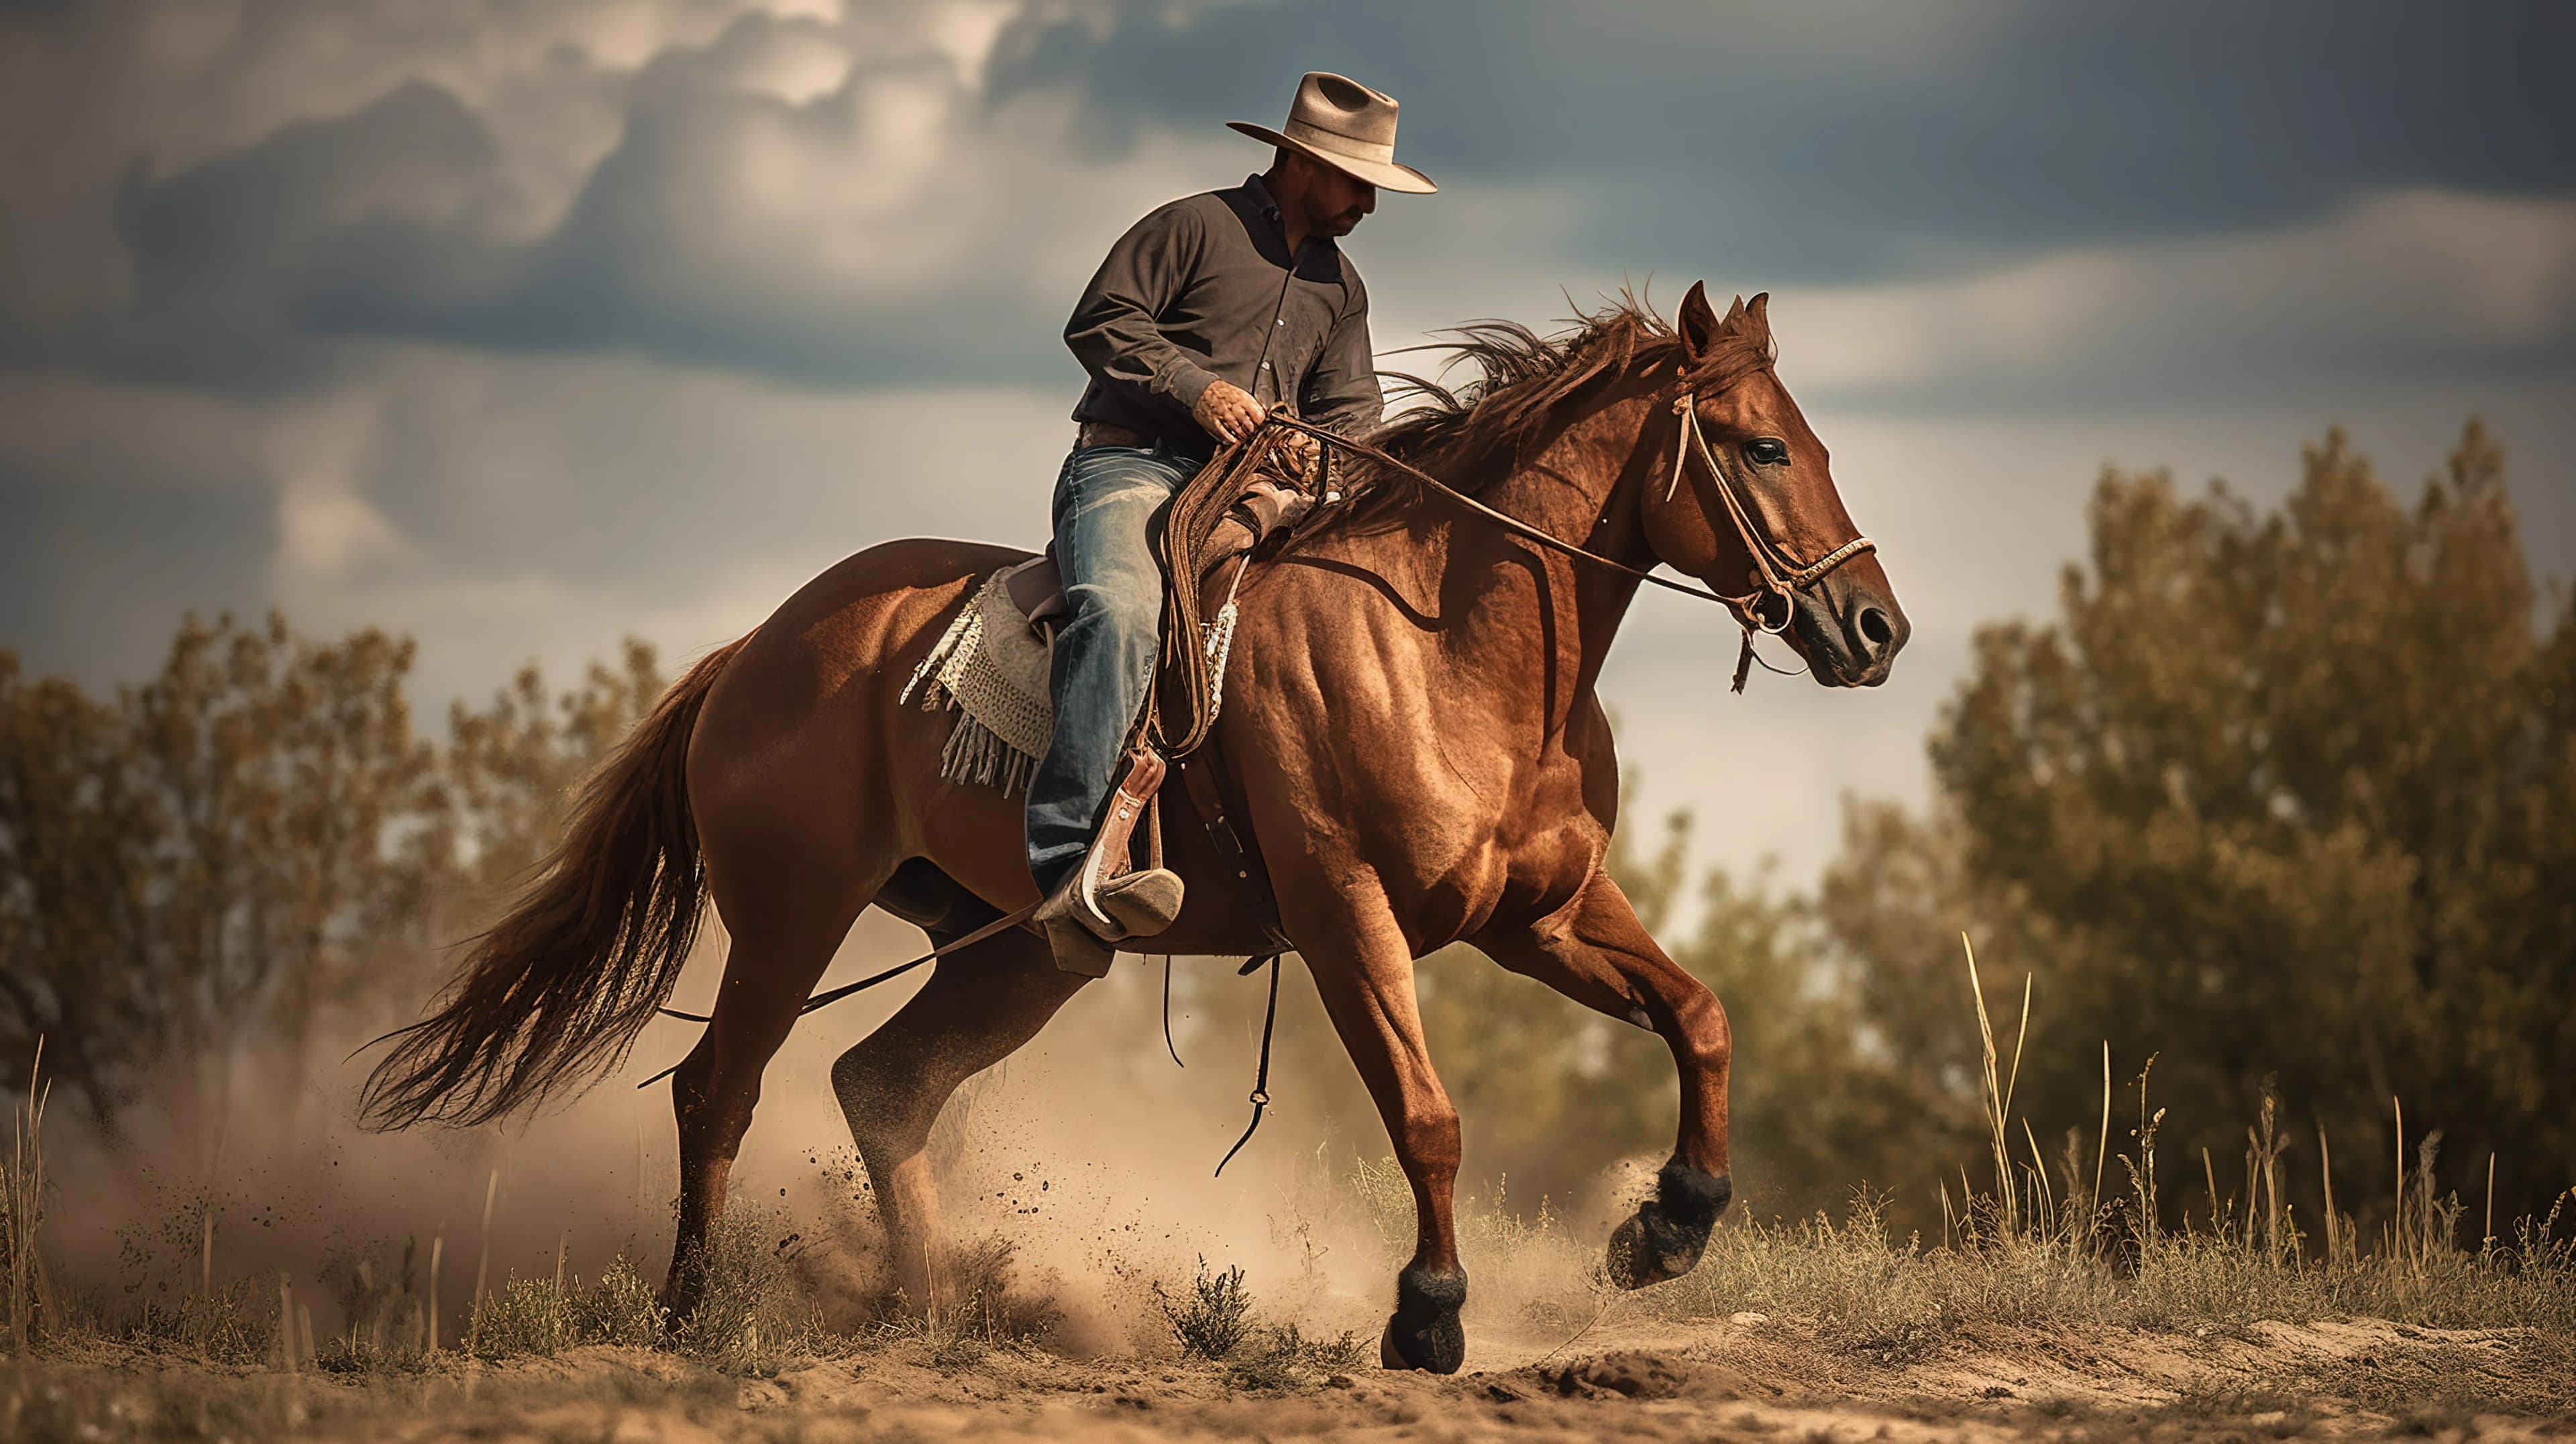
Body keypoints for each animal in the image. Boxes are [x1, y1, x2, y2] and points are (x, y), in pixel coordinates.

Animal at [359, 282, 1910, 1373]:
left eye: (1816, 440)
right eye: (1764, 447)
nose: (1875, 627)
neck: (1444, 645)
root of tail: (755, 648)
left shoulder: (1542, 915)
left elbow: (1700, 1015)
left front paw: (1668, 1226)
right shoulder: (1348, 915)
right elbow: (1428, 1113)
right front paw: (1427, 1315)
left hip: (1016, 949)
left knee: (881, 1082)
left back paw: (937, 1307)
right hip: (791, 917)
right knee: (717, 1090)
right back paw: (693, 1316)